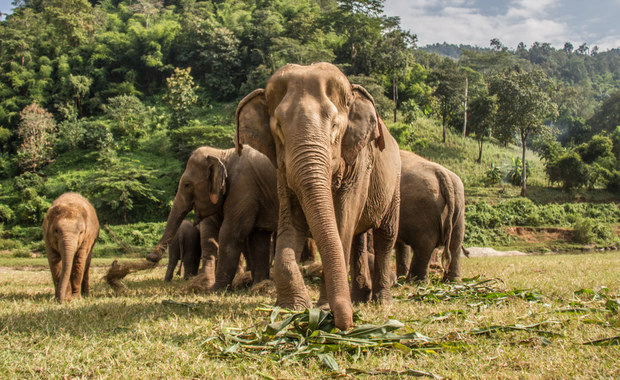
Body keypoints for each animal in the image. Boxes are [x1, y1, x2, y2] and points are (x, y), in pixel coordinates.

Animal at [236, 62, 402, 330]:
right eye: (279, 126)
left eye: (334, 125)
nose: (346, 324)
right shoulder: (282, 170)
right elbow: (291, 222)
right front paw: (291, 308)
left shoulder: (359, 163)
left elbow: (342, 221)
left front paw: (323, 308)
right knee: (358, 238)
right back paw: (359, 298)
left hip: (394, 182)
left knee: (385, 235)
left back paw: (382, 302)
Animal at [398, 150, 464, 284]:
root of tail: (443, 175)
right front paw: (399, 276)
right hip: (459, 205)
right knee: (456, 242)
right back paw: (452, 281)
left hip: (421, 208)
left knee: (424, 244)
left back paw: (415, 282)